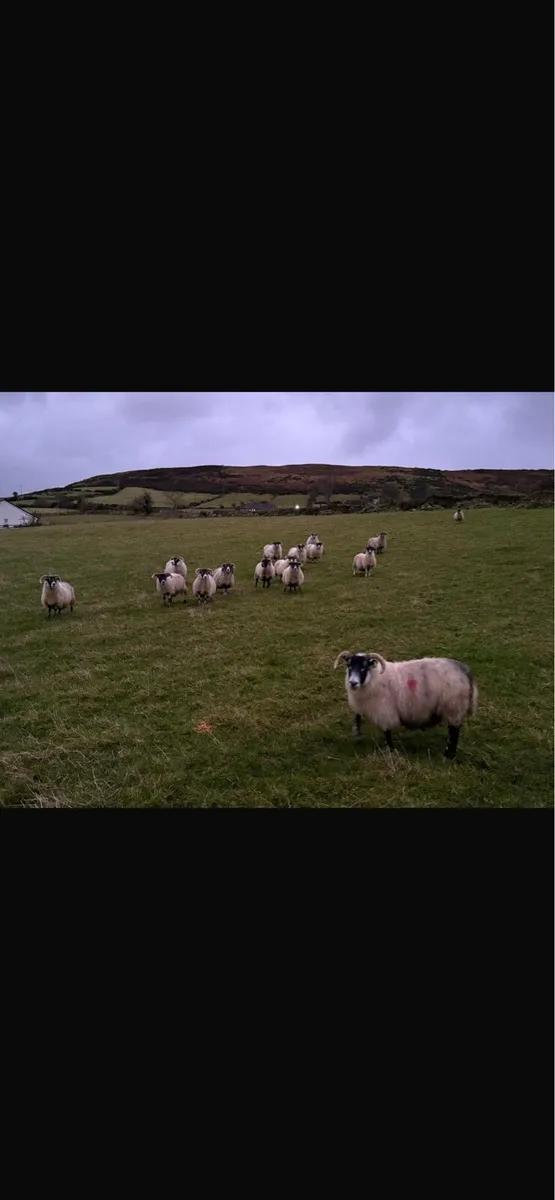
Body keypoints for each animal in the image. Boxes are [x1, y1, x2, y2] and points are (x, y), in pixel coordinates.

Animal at [333, 650, 478, 759]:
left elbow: (387, 732)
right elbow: (358, 719)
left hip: (453, 707)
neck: (374, 678)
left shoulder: (385, 711)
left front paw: (390, 750)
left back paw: (449, 755)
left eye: (364, 668)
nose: (353, 683)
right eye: (349, 666)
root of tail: (463, 669)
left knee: (454, 733)